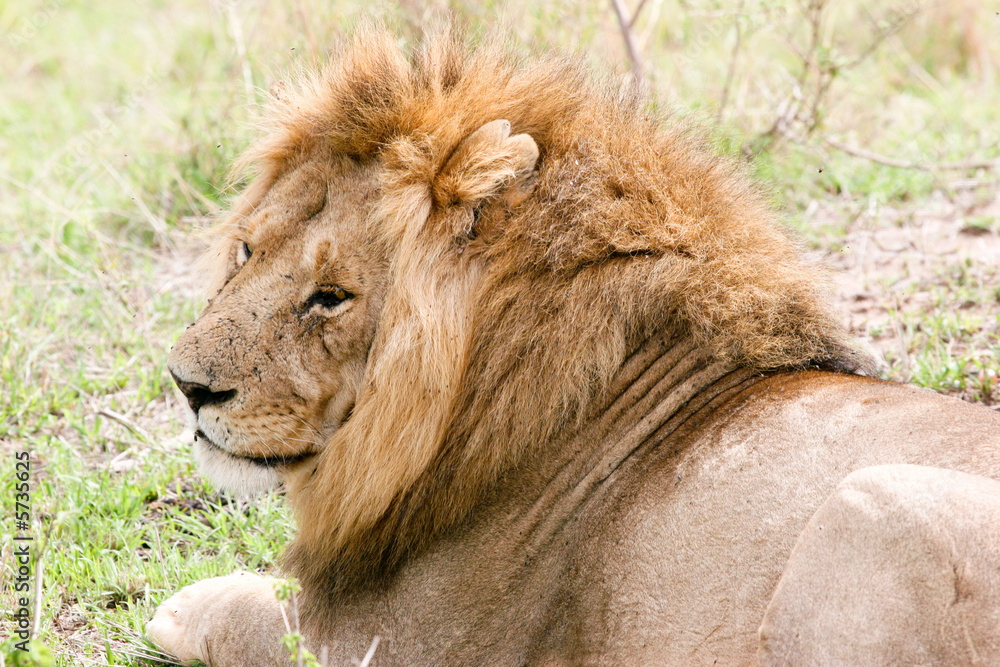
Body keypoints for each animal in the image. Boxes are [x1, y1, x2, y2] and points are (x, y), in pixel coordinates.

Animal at [147, 26, 1000, 666]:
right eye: (247, 249)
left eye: (331, 296)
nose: (188, 386)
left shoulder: (401, 642)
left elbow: (237, 611)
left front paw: (181, 602)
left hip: (875, 507)